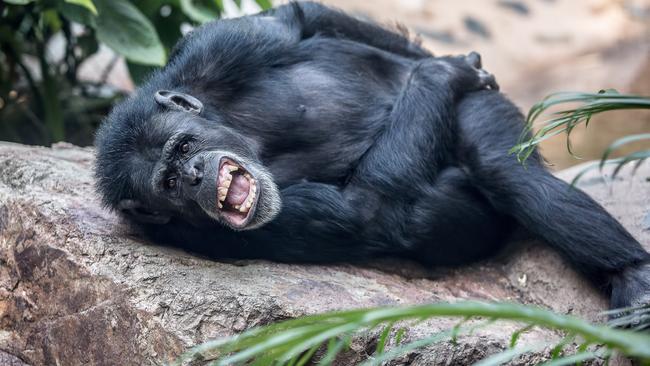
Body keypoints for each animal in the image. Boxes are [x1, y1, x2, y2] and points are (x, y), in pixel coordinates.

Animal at [93, 2, 648, 318]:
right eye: (167, 184)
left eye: (183, 148)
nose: (194, 174)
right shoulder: (205, 236)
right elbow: (364, 209)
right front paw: (442, 73)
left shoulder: (217, 52)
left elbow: (296, 20)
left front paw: (448, 64)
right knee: (487, 182)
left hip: (477, 112)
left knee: (507, 168)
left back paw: (634, 279)